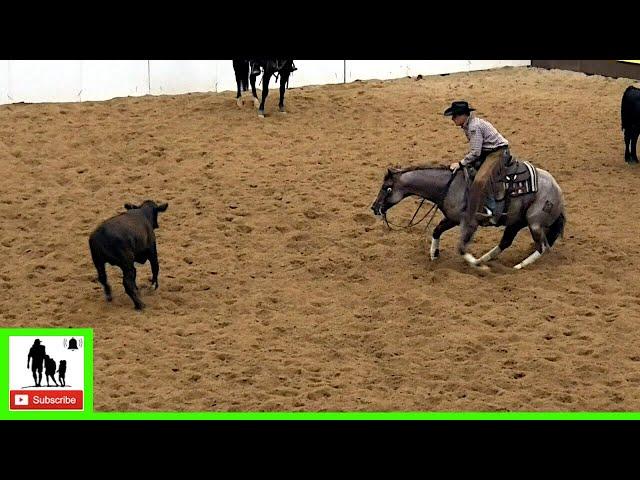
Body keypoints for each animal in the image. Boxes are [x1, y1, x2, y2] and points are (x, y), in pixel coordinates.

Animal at [370, 163, 564, 270]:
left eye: (387, 188)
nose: (374, 208)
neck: (451, 186)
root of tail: (558, 191)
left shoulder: (470, 224)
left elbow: (462, 248)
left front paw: (475, 265)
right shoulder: (452, 218)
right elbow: (436, 230)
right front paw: (434, 254)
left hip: (534, 223)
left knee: (542, 247)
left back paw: (518, 266)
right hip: (515, 222)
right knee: (506, 242)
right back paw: (483, 259)